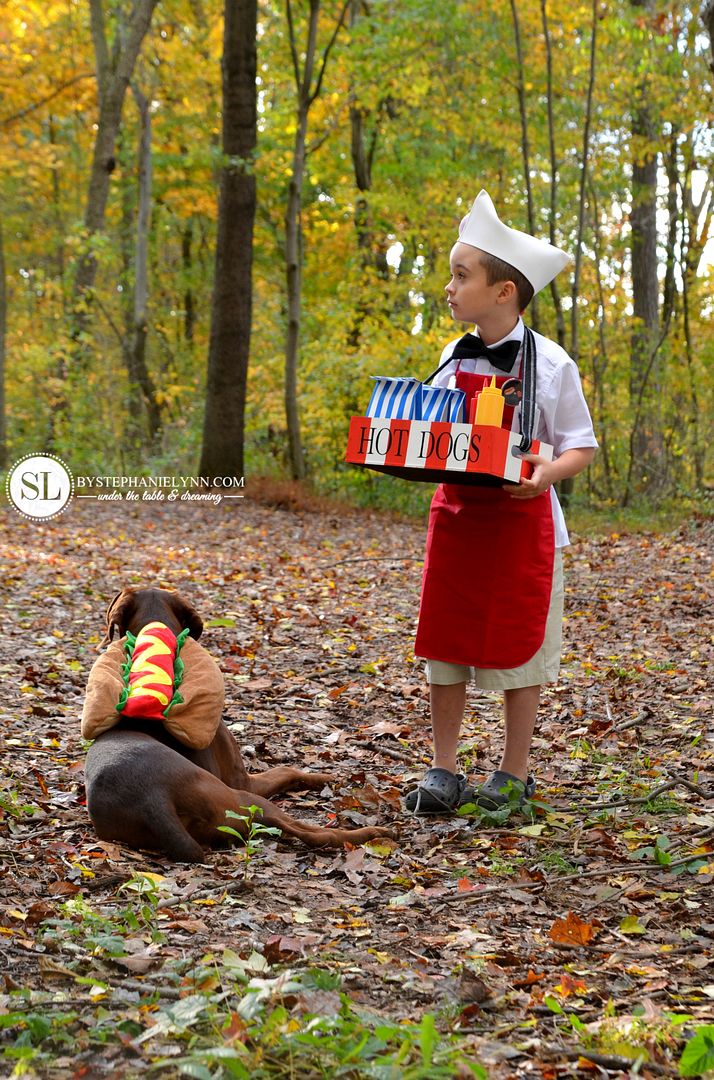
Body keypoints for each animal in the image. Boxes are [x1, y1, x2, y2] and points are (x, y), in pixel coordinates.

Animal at [84, 587, 395, 864]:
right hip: (242, 799)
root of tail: (152, 800)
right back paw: (374, 833)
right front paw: (326, 777)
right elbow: (287, 770)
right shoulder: (243, 781)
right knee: (312, 833)